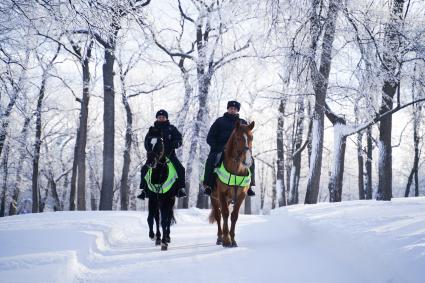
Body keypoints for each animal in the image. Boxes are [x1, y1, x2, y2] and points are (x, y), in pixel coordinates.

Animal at [208, 120, 253, 248]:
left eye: (251, 138)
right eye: (237, 138)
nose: (248, 161)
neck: (236, 170)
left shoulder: (241, 195)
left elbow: (233, 216)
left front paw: (232, 240)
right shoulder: (221, 194)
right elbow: (225, 214)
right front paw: (227, 240)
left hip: (228, 199)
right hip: (214, 198)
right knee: (219, 215)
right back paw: (220, 238)